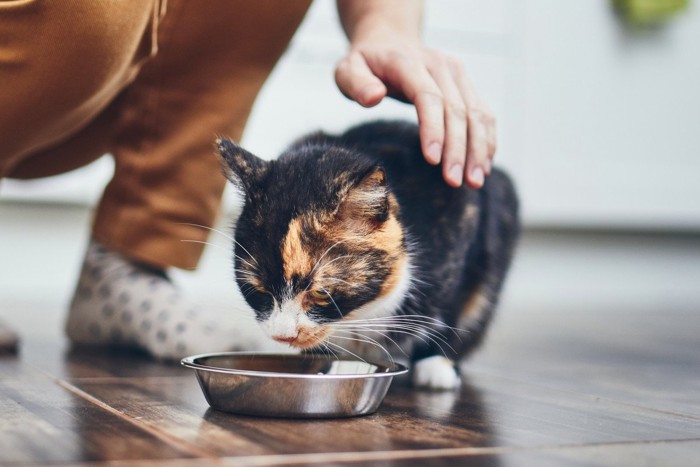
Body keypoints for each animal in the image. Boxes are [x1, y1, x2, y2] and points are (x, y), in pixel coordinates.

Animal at [219, 120, 520, 392]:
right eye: (258, 290)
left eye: (321, 293)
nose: (283, 336)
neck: (359, 316)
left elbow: (451, 303)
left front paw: (437, 363)